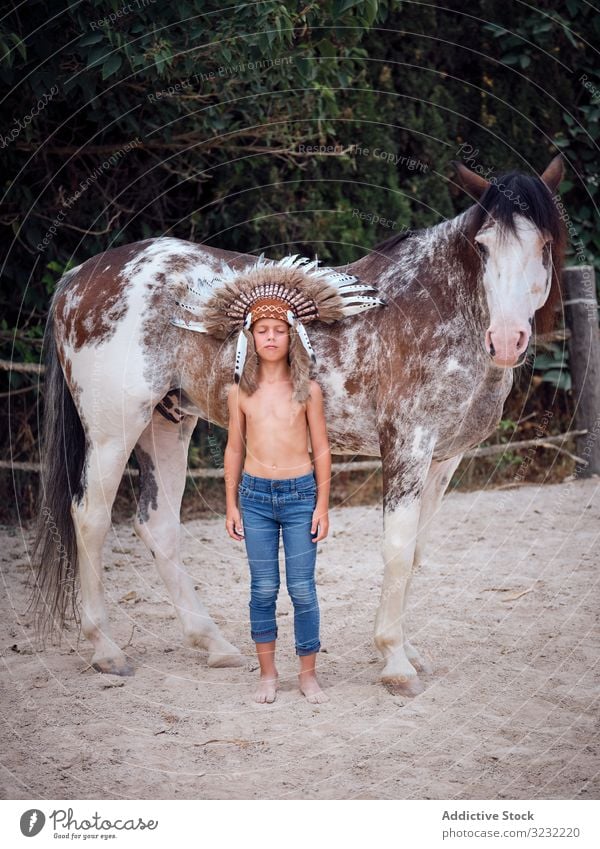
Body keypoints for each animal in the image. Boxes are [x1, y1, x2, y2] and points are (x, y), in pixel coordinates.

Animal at [30, 156, 568, 692]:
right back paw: (106, 650)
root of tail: (79, 276)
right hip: (114, 432)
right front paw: (395, 662)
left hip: (166, 425)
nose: (507, 339)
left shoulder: (443, 459)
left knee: (158, 526)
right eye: (483, 246)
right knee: (91, 518)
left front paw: (410, 651)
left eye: (543, 244)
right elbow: (397, 549)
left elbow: (414, 553)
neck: (437, 306)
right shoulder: (407, 446)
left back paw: (215, 645)